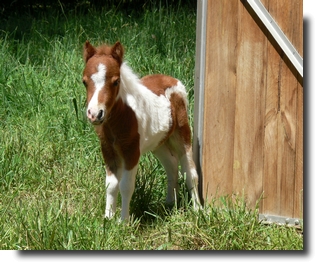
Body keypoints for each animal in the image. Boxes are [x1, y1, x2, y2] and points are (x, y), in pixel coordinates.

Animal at [82, 41, 201, 221]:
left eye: (116, 81)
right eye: (84, 82)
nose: (95, 114)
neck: (121, 117)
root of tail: (173, 79)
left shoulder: (131, 151)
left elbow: (125, 185)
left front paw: (123, 221)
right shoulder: (108, 150)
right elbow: (111, 185)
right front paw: (108, 218)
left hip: (182, 135)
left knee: (190, 172)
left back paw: (198, 210)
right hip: (158, 143)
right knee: (172, 164)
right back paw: (170, 203)